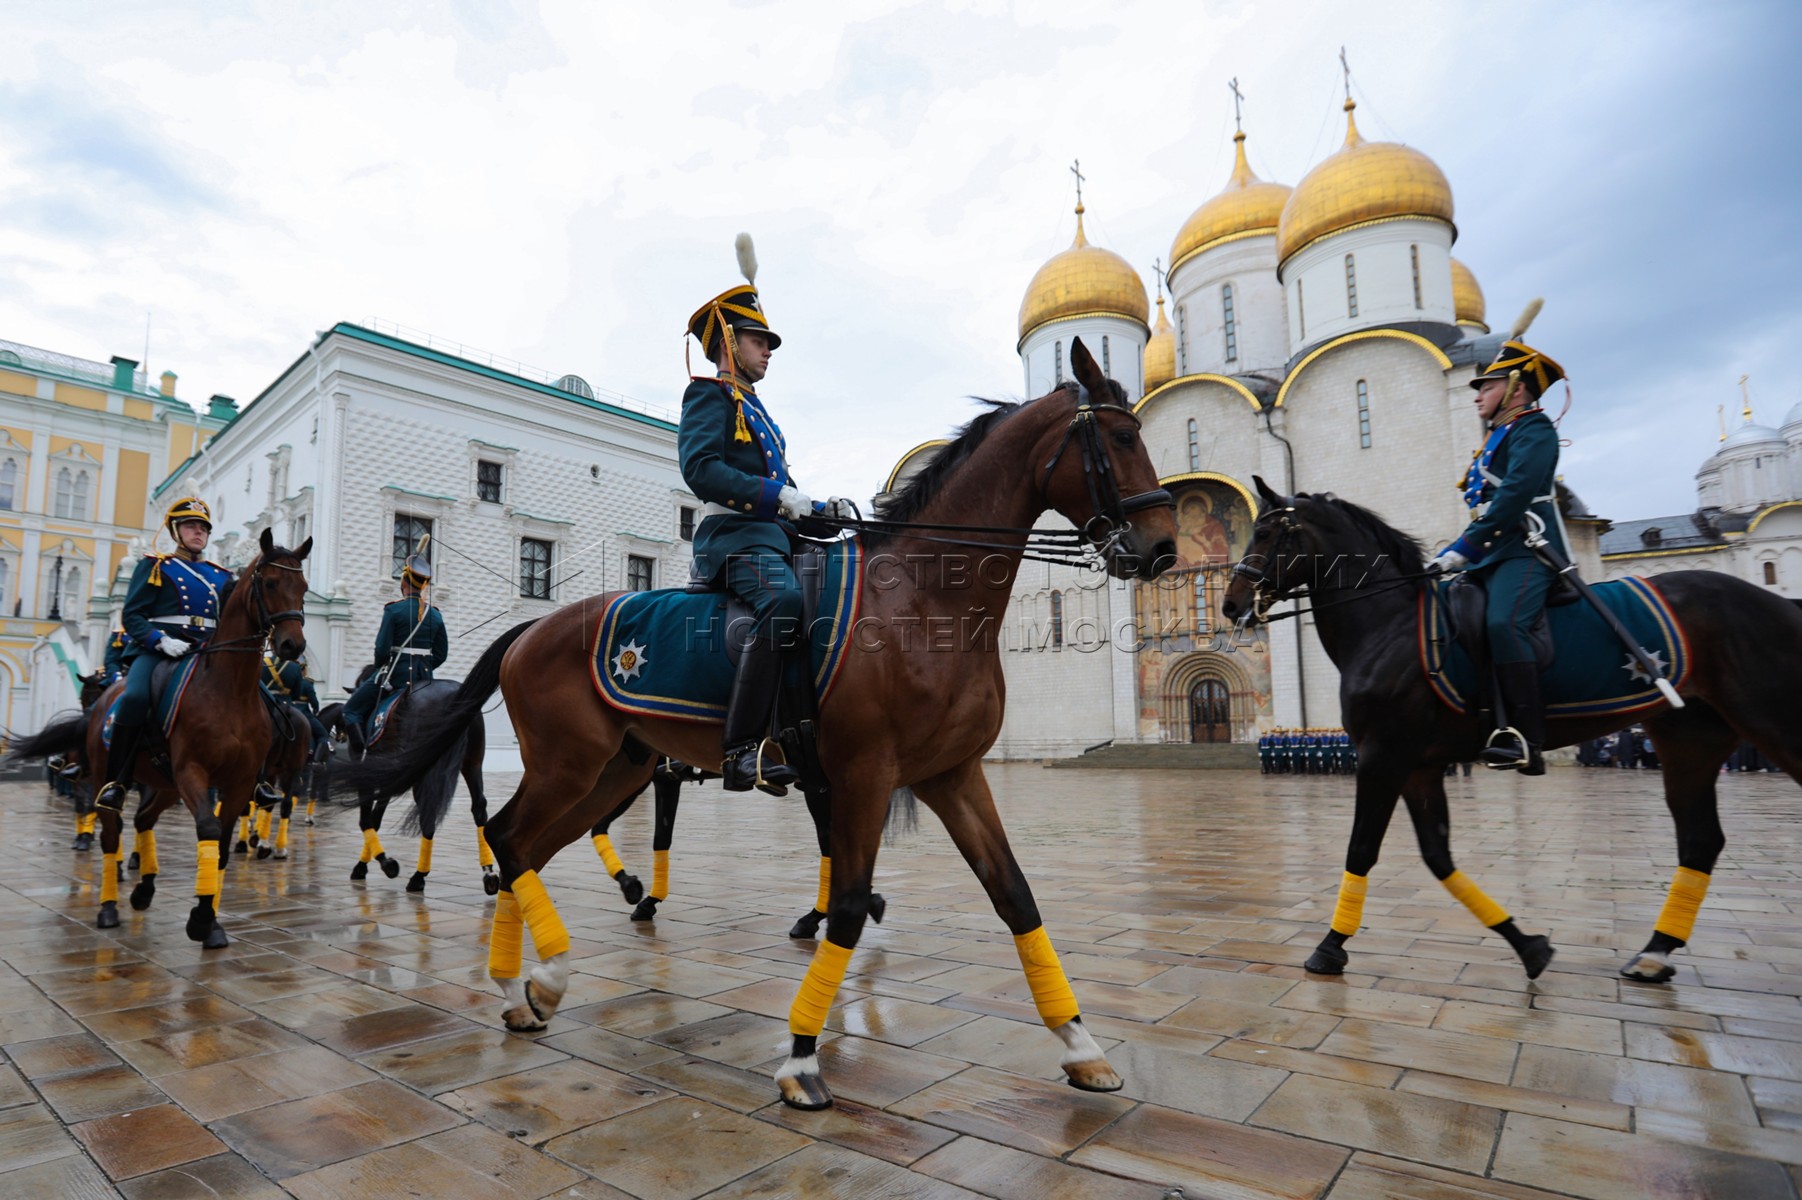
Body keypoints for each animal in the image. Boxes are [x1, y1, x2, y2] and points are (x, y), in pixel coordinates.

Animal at [86, 533, 309, 944]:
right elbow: (208, 829)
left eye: (303, 587)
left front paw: (210, 922)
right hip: (107, 775)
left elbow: (220, 844)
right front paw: (200, 917)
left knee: (143, 818)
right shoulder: (193, 771)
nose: (293, 646)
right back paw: (109, 907)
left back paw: (144, 889)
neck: (229, 689)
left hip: (166, 783)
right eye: (270, 583)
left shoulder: (240, 781)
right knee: (111, 833)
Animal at [336, 336, 1174, 1102]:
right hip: (571, 766)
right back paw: (539, 975)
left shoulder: (951, 776)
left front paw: (1080, 1043)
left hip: (616, 771)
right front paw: (802, 1055)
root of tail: (534, 627)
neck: (921, 598)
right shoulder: (863, 776)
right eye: (1119, 439)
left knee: (523, 848)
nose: (1163, 548)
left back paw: (525, 989)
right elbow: (847, 906)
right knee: (508, 838)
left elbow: (1014, 897)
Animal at [1218, 475, 1802, 980]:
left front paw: (1329, 946)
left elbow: (1362, 848)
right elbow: (1438, 858)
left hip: (1769, 723)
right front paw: (1529, 946)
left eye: (1266, 532)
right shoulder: (1419, 767)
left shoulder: (1382, 755)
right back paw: (1655, 952)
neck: (1391, 623)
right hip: (1689, 741)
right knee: (1700, 840)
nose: (1230, 604)